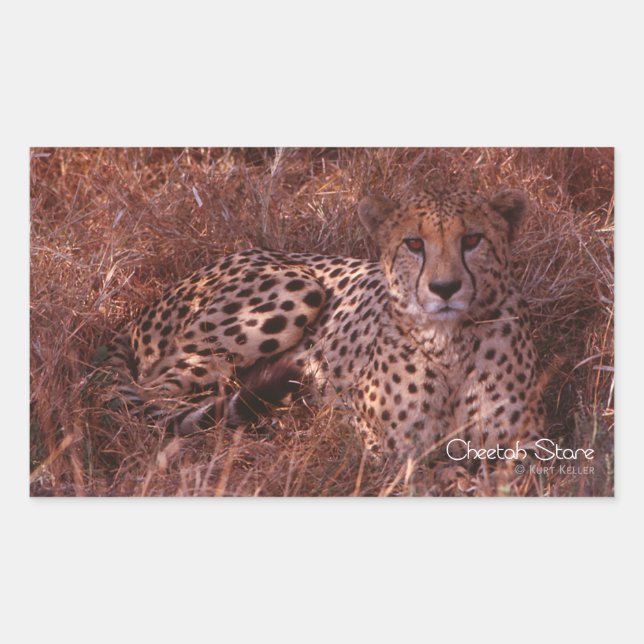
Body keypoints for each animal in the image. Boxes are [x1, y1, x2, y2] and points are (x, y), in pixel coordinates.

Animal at [102, 185, 546, 459]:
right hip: (297, 288)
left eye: (472, 240)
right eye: (414, 243)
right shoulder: (390, 450)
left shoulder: (528, 448)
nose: (445, 288)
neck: (450, 343)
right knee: (155, 394)